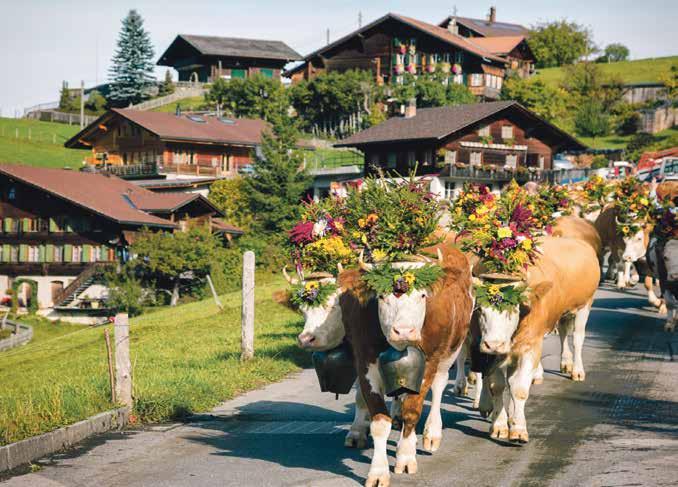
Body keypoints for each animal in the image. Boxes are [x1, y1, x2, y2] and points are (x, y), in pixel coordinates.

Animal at [475, 236, 599, 442]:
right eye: (481, 310)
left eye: (513, 311)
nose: (493, 344)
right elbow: (497, 385)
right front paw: (500, 424)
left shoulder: (531, 346)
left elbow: (519, 389)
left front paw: (518, 429)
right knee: (563, 331)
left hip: (584, 305)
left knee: (577, 338)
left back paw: (577, 370)